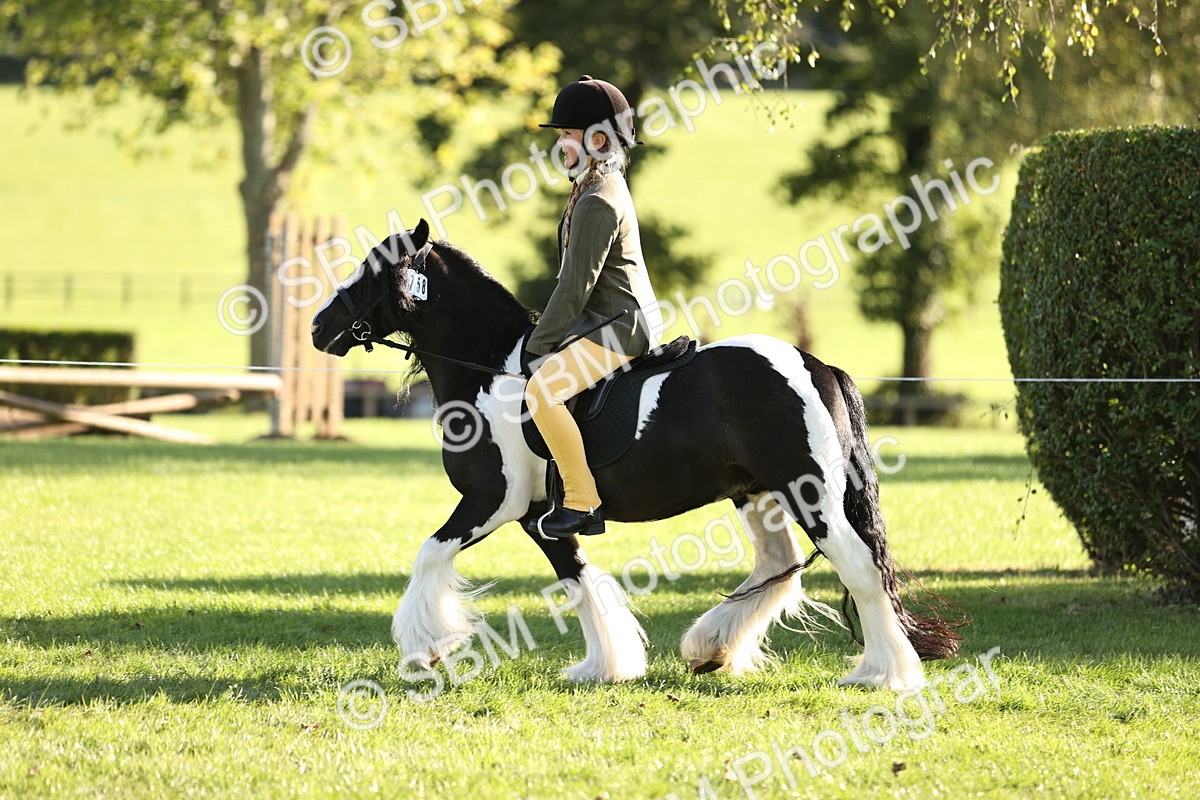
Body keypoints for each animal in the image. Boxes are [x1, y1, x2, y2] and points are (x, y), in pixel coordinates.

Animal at [310, 219, 963, 691]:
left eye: (371, 273)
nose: (318, 327)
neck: (489, 370)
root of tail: (814, 364)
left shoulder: (492, 501)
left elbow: (429, 554)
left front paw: (425, 650)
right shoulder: (540, 518)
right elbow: (580, 583)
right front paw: (607, 666)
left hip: (810, 491)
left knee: (859, 568)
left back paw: (884, 674)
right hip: (756, 492)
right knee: (777, 568)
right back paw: (709, 649)